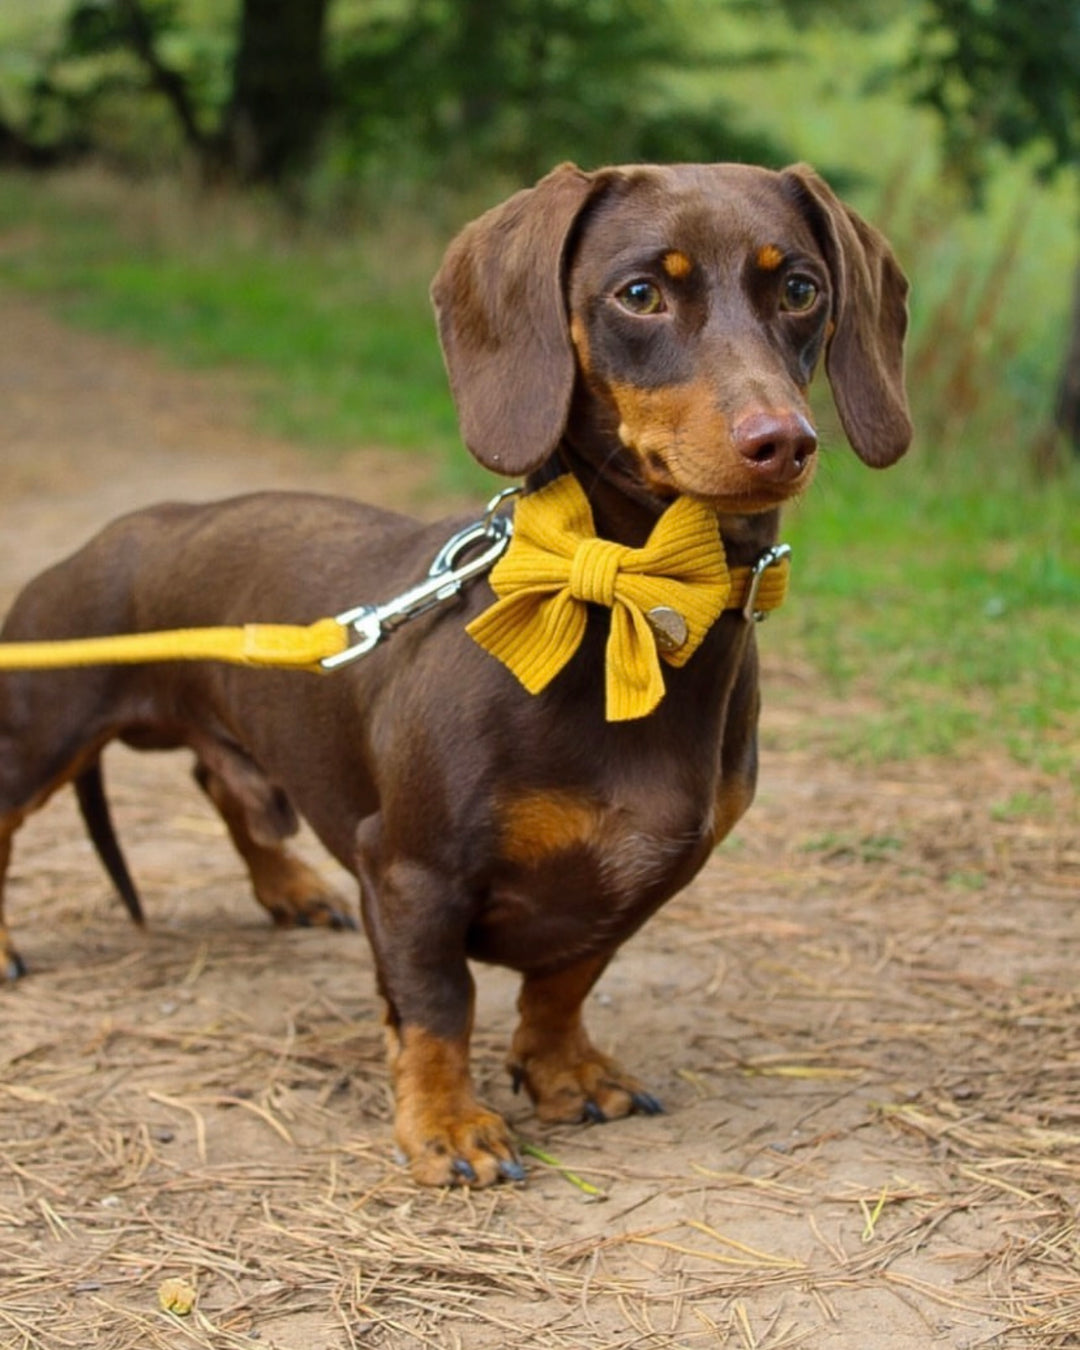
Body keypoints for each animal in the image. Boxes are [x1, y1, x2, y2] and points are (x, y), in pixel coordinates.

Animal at [0, 163, 912, 1188]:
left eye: (799, 288)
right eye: (641, 293)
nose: (783, 442)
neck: (627, 609)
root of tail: (113, 535)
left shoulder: (644, 880)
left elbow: (564, 983)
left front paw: (563, 1072)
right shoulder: (409, 874)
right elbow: (438, 1006)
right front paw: (446, 1125)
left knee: (223, 784)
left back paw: (286, 886)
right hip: (40, 727)